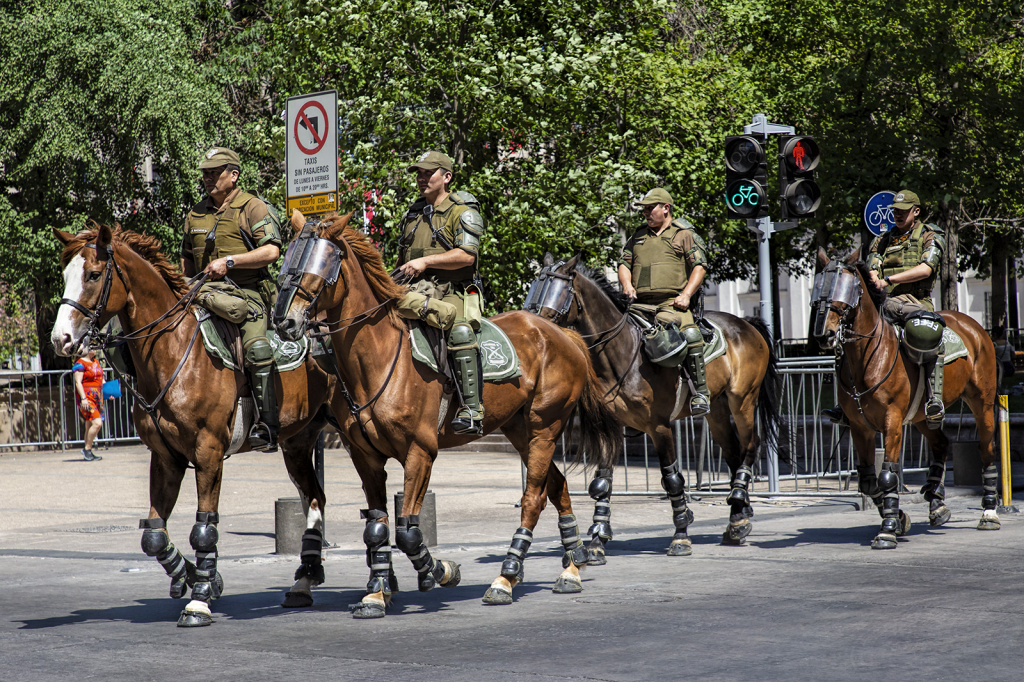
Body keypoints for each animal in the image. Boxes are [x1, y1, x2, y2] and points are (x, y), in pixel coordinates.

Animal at [51, 225, 333, 622]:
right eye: (65, 276)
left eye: (92, 275)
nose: (60, 339)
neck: (172, 351)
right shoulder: (165, 457)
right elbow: (153, 535)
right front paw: (196, 578)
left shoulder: (209, 452)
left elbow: (204, 528)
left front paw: (199, 597)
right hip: (297, 442)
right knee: (314, 498)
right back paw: (305, 579)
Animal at [272, 210, 618, 614]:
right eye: (288, 260)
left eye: (322, 263)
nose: (284, 321)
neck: (378, 358)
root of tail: (563, 334)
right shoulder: (365, 457)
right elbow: (377, 527)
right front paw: (376, 591)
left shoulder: (420, 452)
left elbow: (408, 530)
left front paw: (438, 570)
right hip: (520, 430)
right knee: (558, 486)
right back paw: (571, 567)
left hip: (545, 428)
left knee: (534, 498)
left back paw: (506, 576)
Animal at [528, 254, 782, 557]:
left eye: (557, 292)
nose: (533, 326)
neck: (621, 353)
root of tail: (746, 323)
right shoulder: (611, 427)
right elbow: (602, 481)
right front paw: (598, 539)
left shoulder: (659, 427)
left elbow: (672, 479)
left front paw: (681, 534)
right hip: (718, 410)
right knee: (733, 454)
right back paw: (737, 520)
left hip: (742, 400)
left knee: (750, 444)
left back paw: (739, 499)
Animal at [811, 249, 995, 548]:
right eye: (819, 287)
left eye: (846, 288)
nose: (824, 334)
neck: (868, 357)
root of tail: (974, 328)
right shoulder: (860, 427)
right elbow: (868, 481)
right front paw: (899, 518)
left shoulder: (892, 422)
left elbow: (887, 475)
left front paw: (887, 528)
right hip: (921, 416)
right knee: (941, 444)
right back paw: (937, 501)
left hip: (983, 402)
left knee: (986, 450)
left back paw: (989, 511)